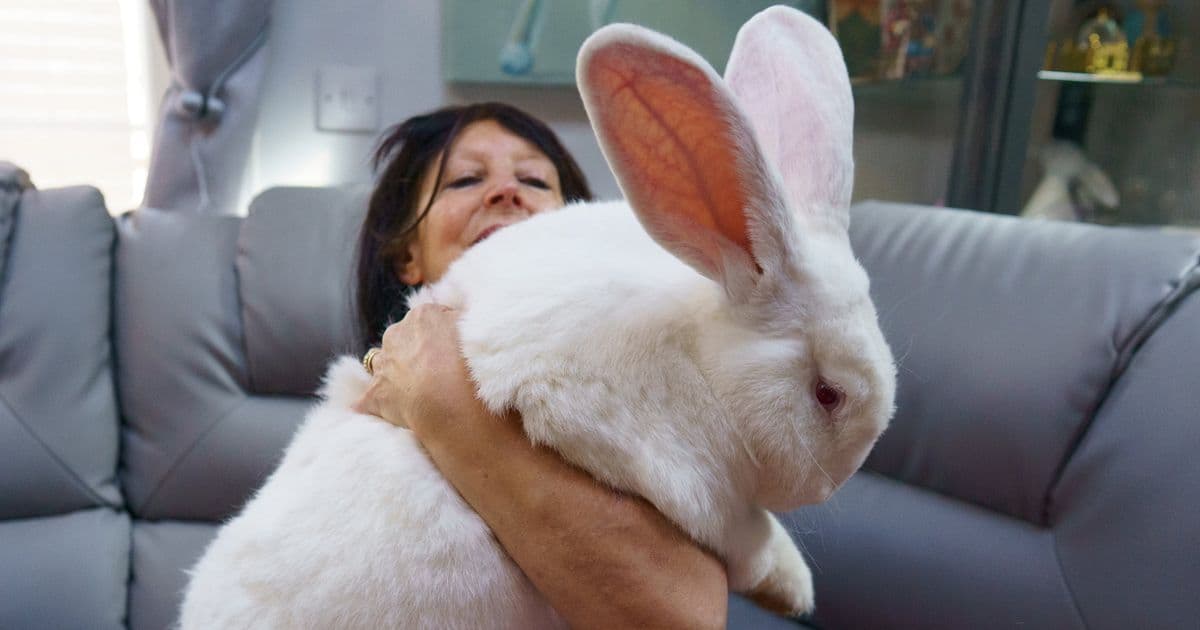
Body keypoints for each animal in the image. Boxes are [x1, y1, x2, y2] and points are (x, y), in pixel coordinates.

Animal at [179, 6, 896, 629]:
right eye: (827, 394)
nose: (832, 481)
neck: (699, 348)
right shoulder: (690, 486)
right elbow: (751, 539)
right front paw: (794, 586)